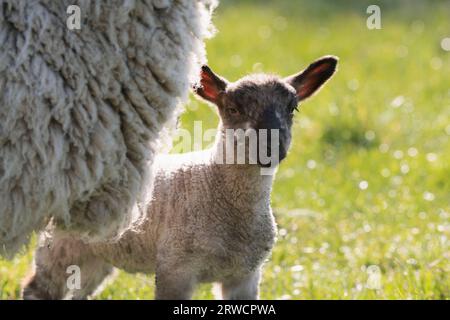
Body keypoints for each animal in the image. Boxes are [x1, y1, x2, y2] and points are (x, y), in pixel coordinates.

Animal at [21, 56, 338, 298]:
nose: (272, 149)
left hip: (95, 257)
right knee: (37, 289)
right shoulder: (175, 267)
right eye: (233, 109)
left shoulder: (245, 275)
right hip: (59, 247)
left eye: (292, 109)